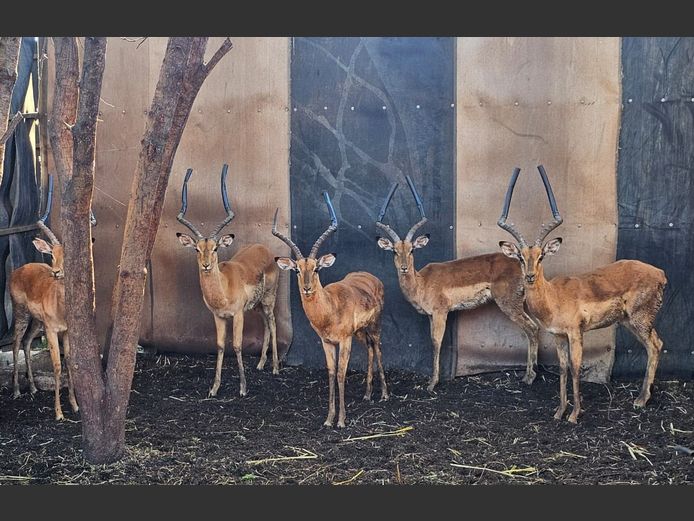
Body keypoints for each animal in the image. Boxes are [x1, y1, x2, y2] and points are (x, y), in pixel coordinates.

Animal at [9, 176, 79, 420]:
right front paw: (58, 413)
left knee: (28, 342)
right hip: (21, 314)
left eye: (67, 256)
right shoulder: (51, 330)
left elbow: (71, 363)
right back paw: (17, 390)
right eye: (52, 255)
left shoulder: (66, 331)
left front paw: (75, 405)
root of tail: (18, 270)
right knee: (16, 344)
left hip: (36, 321)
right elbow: (57, 366)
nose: (56, 272)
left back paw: (32, 387)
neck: (61, 308)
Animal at [176, 165, 280, 398]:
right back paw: (261, 364)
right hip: (256, 305)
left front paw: (243, 388)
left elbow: (238, 345)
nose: (206, 265)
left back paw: (276, 368)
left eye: (215, 248)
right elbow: (221, 345)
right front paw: (214, 388)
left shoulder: (238, 314)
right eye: (197, 249)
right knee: (265, 324)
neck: (223, 289)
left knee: (273, 322)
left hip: (269, 299)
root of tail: (264, 248)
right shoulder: (219, 316)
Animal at [272, 192, 388, 428]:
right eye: (297, 270)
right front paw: (328, 419)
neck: (330, 309)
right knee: (370, 350)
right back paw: (367, 394)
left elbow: (342, 373)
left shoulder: (344, 340)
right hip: (360, 332)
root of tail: (371, 276)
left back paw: (384, 394)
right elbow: (331, 373)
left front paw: (341, 420)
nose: (307, 288)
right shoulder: (327, 342)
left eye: (316, 268)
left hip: (374, 327)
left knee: (378, 349)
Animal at [376, 176, 540, 391]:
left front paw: (432, 383)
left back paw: (529, 377)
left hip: (510, 305)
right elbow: (432, 340)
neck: (422, 283)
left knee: (532, 329)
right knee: (535, 327)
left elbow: (436, 342)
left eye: (412, 250)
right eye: (395, 251)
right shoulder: (431, 315)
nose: (403, 268)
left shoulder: (440, 312)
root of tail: (522, 264)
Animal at [498, 165, 667, 423]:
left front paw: (575, 414)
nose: (530, 277)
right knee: (654, 345)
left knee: (656, 345)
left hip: (640, 320)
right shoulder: (558, 336)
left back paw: (640, 400)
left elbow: (576, 368)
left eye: (541, 256)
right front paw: (559, 411)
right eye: (520, 257)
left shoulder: (576, 333)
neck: (554, 298)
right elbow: (562, 368)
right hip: (629, 321)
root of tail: (660, 273)